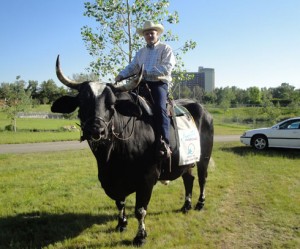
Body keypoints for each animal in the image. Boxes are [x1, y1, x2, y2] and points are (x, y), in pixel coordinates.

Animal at [51, 56, 213, 245]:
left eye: (112, 104)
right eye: (82, 102)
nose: (96, 130)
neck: (111, 158)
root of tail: (201, 108)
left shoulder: (147, 179)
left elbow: (140, 209)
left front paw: (140, 236)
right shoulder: (112, 180)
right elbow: (120, 203)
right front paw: (121, 224)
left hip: (204, 157)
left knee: (202, 179)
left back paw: (200, 204)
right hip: (186, 161)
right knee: (189, 179)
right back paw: (186, 206)